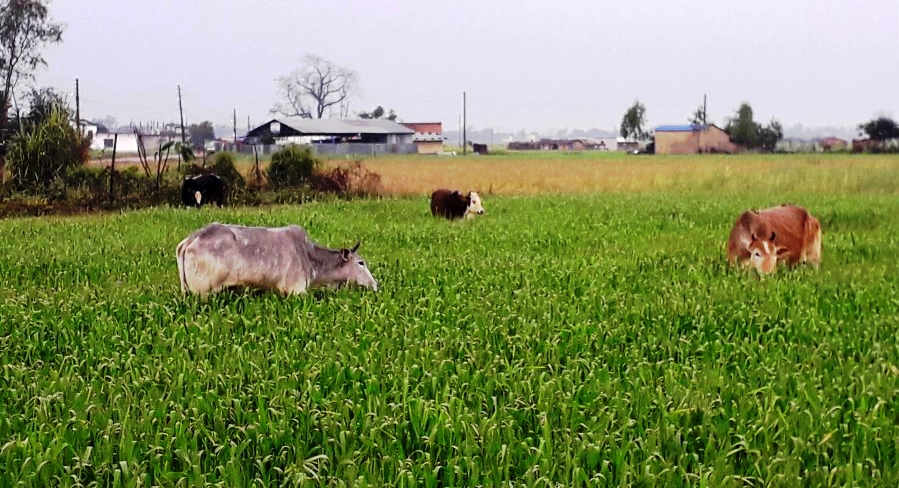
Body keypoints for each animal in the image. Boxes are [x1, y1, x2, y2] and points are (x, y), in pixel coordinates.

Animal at [178, 221, 378, 298]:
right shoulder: (297, 290)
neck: (309, 256)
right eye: (361, 262)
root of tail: (189, 240)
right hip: (203, 293)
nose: (375, 285)